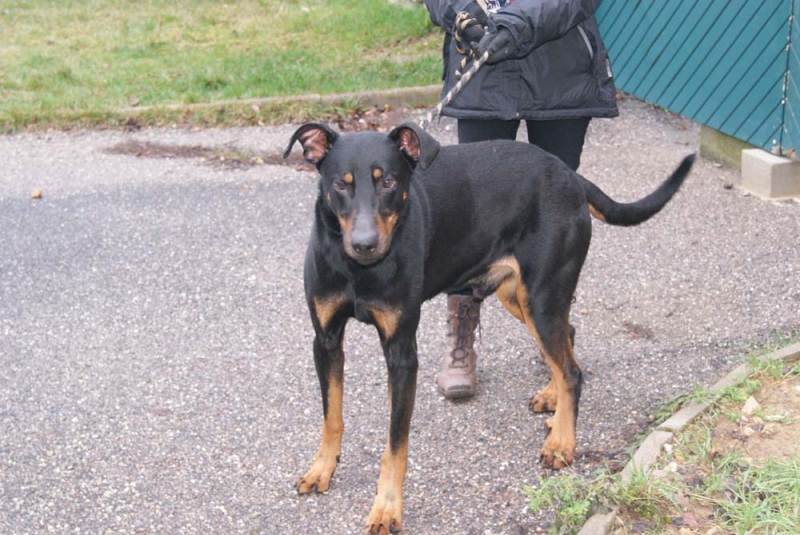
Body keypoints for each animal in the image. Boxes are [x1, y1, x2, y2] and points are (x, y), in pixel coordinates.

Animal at [282, 122, 692, 535]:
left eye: (389, 182)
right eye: (340, 184)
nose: (364, 245)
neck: (358, 271)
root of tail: (569, 175)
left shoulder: (401, 353)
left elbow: (395, 445)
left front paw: (386, 508)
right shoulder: (326, 340)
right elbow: (331, 417)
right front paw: (322, 469)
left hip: (541, 296)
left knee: (572, 370)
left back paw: (562, 441)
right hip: (520, 296)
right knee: (568, 341)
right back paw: (554, 400)